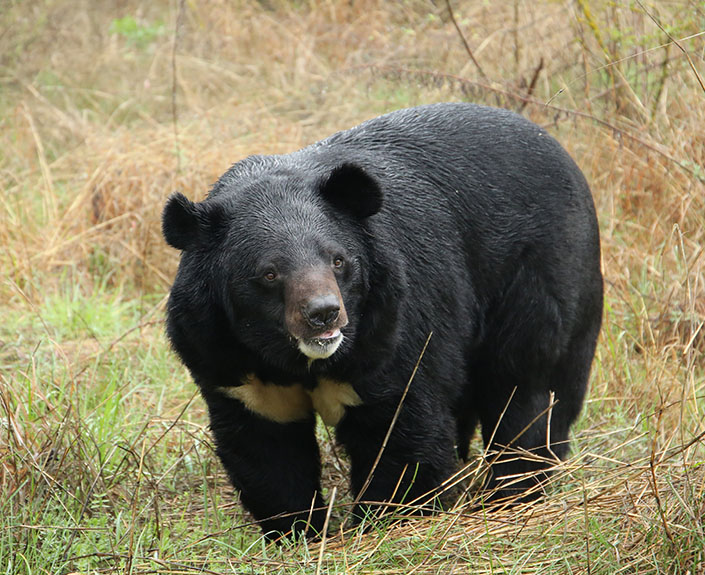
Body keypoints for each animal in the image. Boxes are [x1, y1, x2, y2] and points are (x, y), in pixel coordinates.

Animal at [161, 102, 603, 539]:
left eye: (338, 260)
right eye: (269, 273)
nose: (323, 314)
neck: (294, 359)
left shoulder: (390, 327)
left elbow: (400, 428)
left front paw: (389, 521)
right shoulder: (225, 357)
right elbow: (268, 450)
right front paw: (299, 531)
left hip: (539, 276)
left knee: (526, 389)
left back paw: (513, 492)